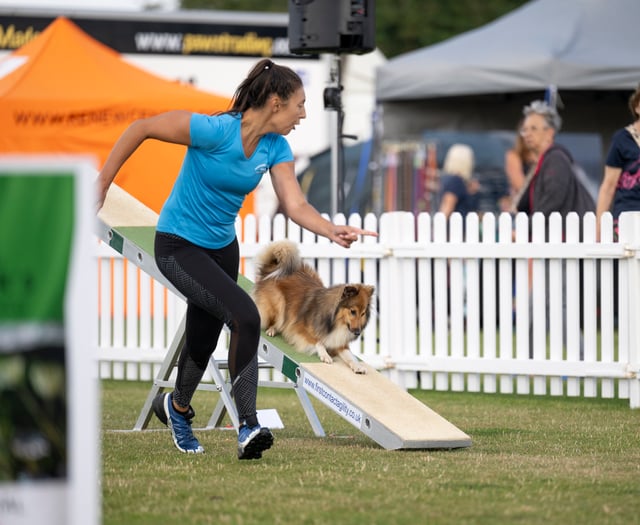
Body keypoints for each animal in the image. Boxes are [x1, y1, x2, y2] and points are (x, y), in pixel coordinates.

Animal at [251, 238, 376, 372]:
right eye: (353, 311)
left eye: (363, 313)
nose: (358, 332)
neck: (335, 322)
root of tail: (271, 268)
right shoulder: (298, 327)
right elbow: (318, 341)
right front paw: (325, 355)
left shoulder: (338, 342)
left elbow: (349, 356)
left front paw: (357, 366)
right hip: (278, 303)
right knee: (275, 319)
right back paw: (272, 329)